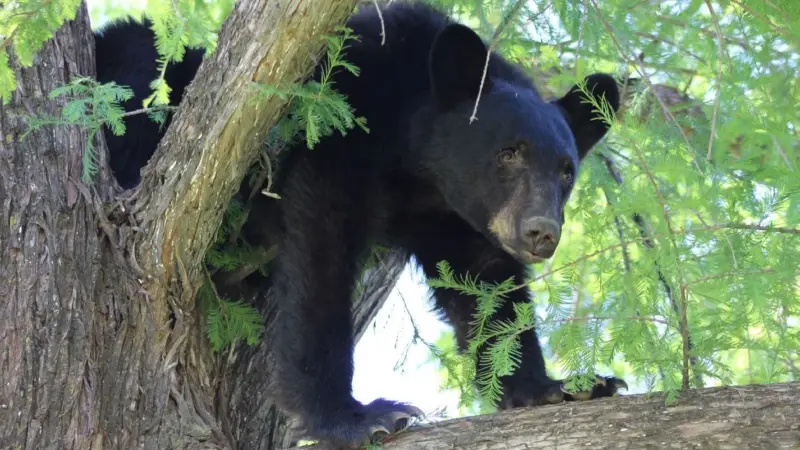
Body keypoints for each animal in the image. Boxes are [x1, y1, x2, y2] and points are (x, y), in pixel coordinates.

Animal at [94, 1, 626, 448]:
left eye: (566, 171)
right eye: (508, 153)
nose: (541, 232)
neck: (418, 168)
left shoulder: (454, 215)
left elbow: (487, 289)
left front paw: (558, 386)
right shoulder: (339, 124)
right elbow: (320, 257)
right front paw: (355, 416)